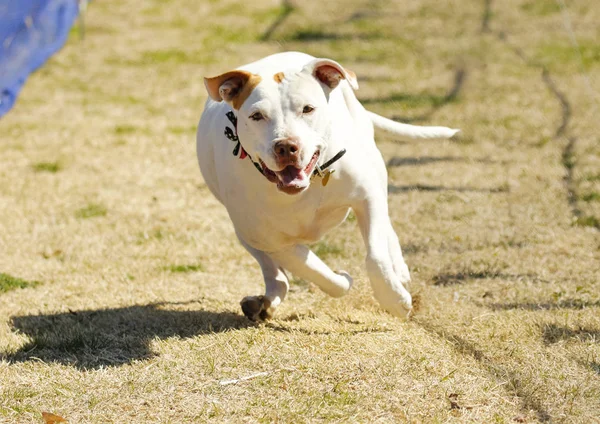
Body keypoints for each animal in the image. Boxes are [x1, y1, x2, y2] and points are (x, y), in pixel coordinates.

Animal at [197, 51, 460, 320]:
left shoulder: (366, 197)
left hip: (375, 166)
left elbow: (375, 257)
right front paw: (343, 280)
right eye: (257, 116)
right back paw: (263, 302)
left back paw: (398, 267)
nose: (286, 147)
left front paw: (395, 300)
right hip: (246, 236)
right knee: (276, 275)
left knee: (385, 224)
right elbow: (314, 270)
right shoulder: (269, 239)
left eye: (307, 109)